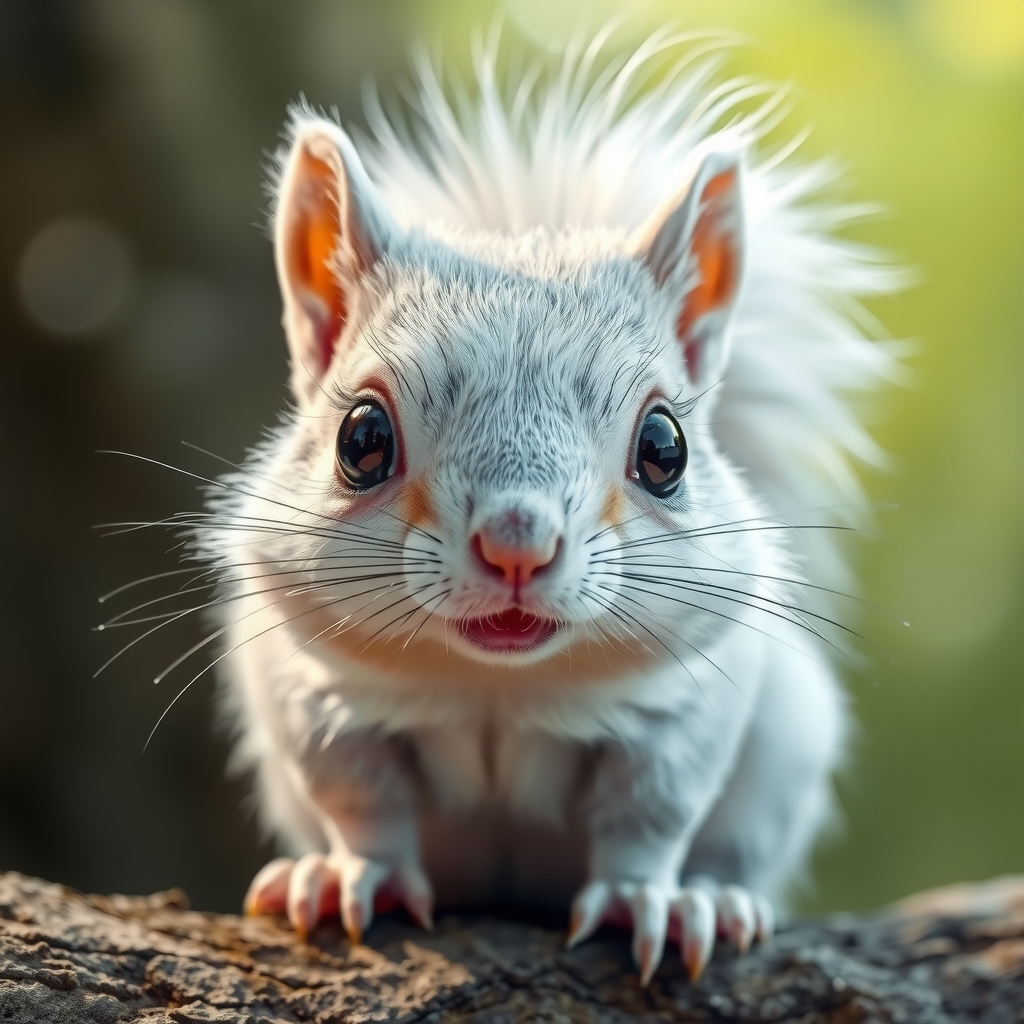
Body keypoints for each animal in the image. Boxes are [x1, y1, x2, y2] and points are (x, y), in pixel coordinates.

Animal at [192, 36, 897, 983]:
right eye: (360, 437)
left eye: (666, 447)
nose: (517, 544)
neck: (501, 685)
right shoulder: (318, 694)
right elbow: (361, 799)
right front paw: (353, 875)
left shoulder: (683, 709)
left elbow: (650, 816)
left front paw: (650, 898)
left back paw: (713, 894)